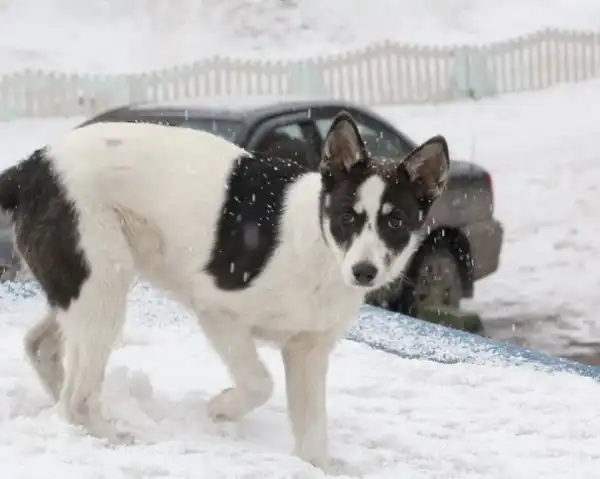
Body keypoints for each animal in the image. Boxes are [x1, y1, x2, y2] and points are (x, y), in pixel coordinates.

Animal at [0, 111, 449, 468]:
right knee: (75, 399)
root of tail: (32, 165)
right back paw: (112, 438)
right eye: (347, 216)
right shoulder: (218, 313)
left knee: (42, 349)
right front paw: (218, 409)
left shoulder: (308, 352)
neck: (320, 249)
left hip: (85, 289)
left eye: (395, 221)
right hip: (102, 287)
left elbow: (312, 434)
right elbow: (259, 383)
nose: (364, 272)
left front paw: (316, 464)